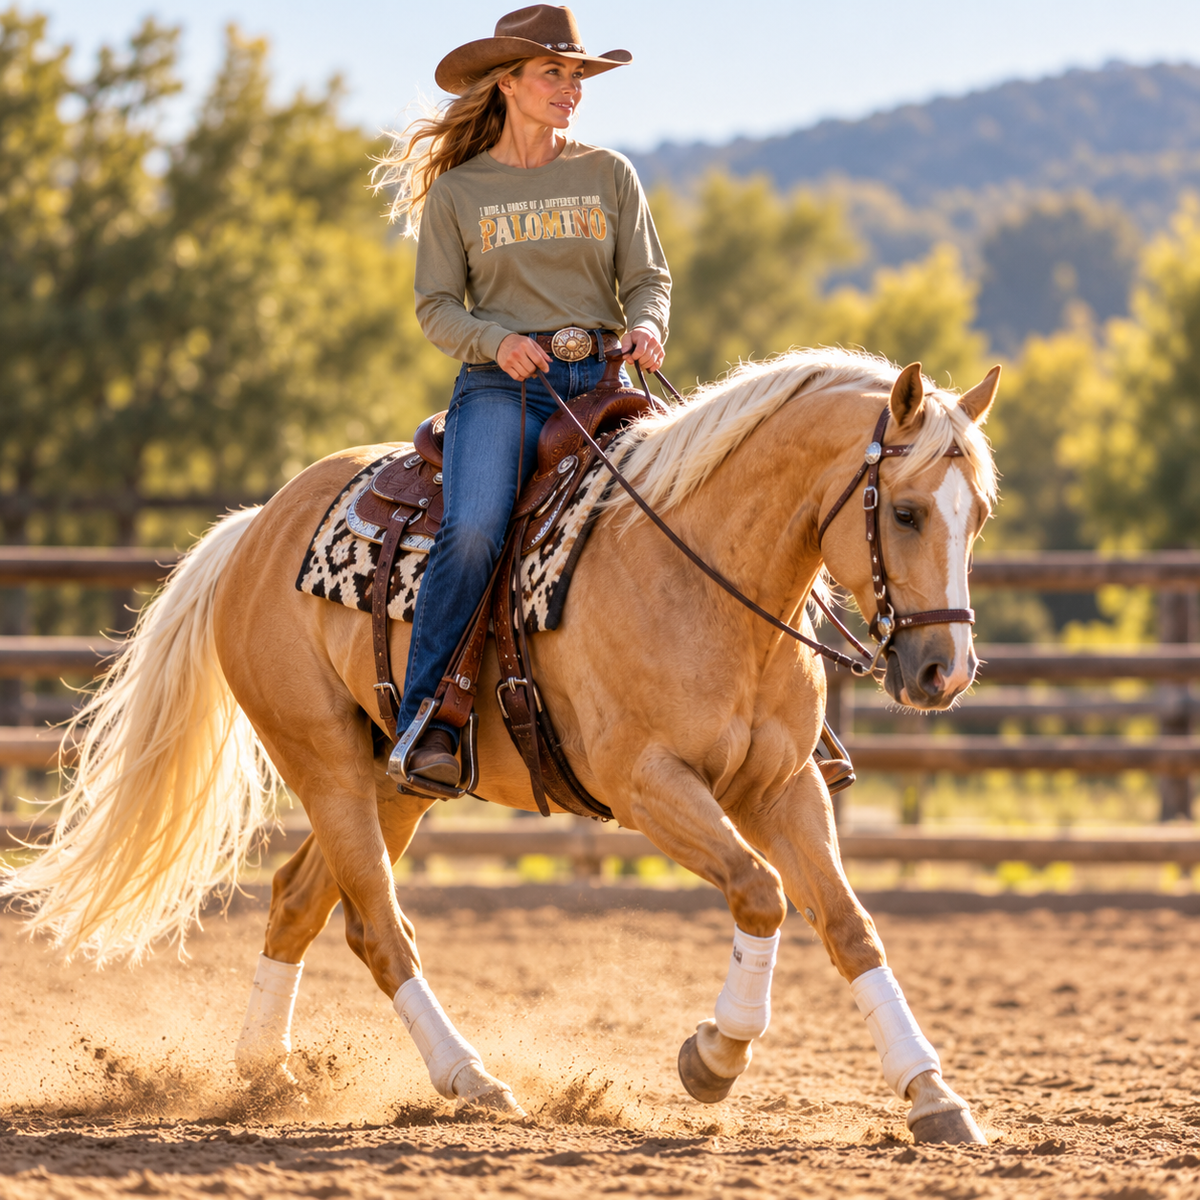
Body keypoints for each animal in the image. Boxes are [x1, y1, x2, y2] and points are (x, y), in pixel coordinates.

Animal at [4, 348, 1000, 1144]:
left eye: (980, 513)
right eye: (907, 512)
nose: (942, 670)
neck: (701, 574)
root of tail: (257, 526)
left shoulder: (783, 787)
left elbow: (849, 925)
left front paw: (933, 1096)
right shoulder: (648, 784)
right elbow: (759, 893)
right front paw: (713, 1057)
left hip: (393, 781)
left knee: (301, 903)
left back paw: (267, 1075)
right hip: (321, 761)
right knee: (381, 925)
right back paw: (470, 1078)